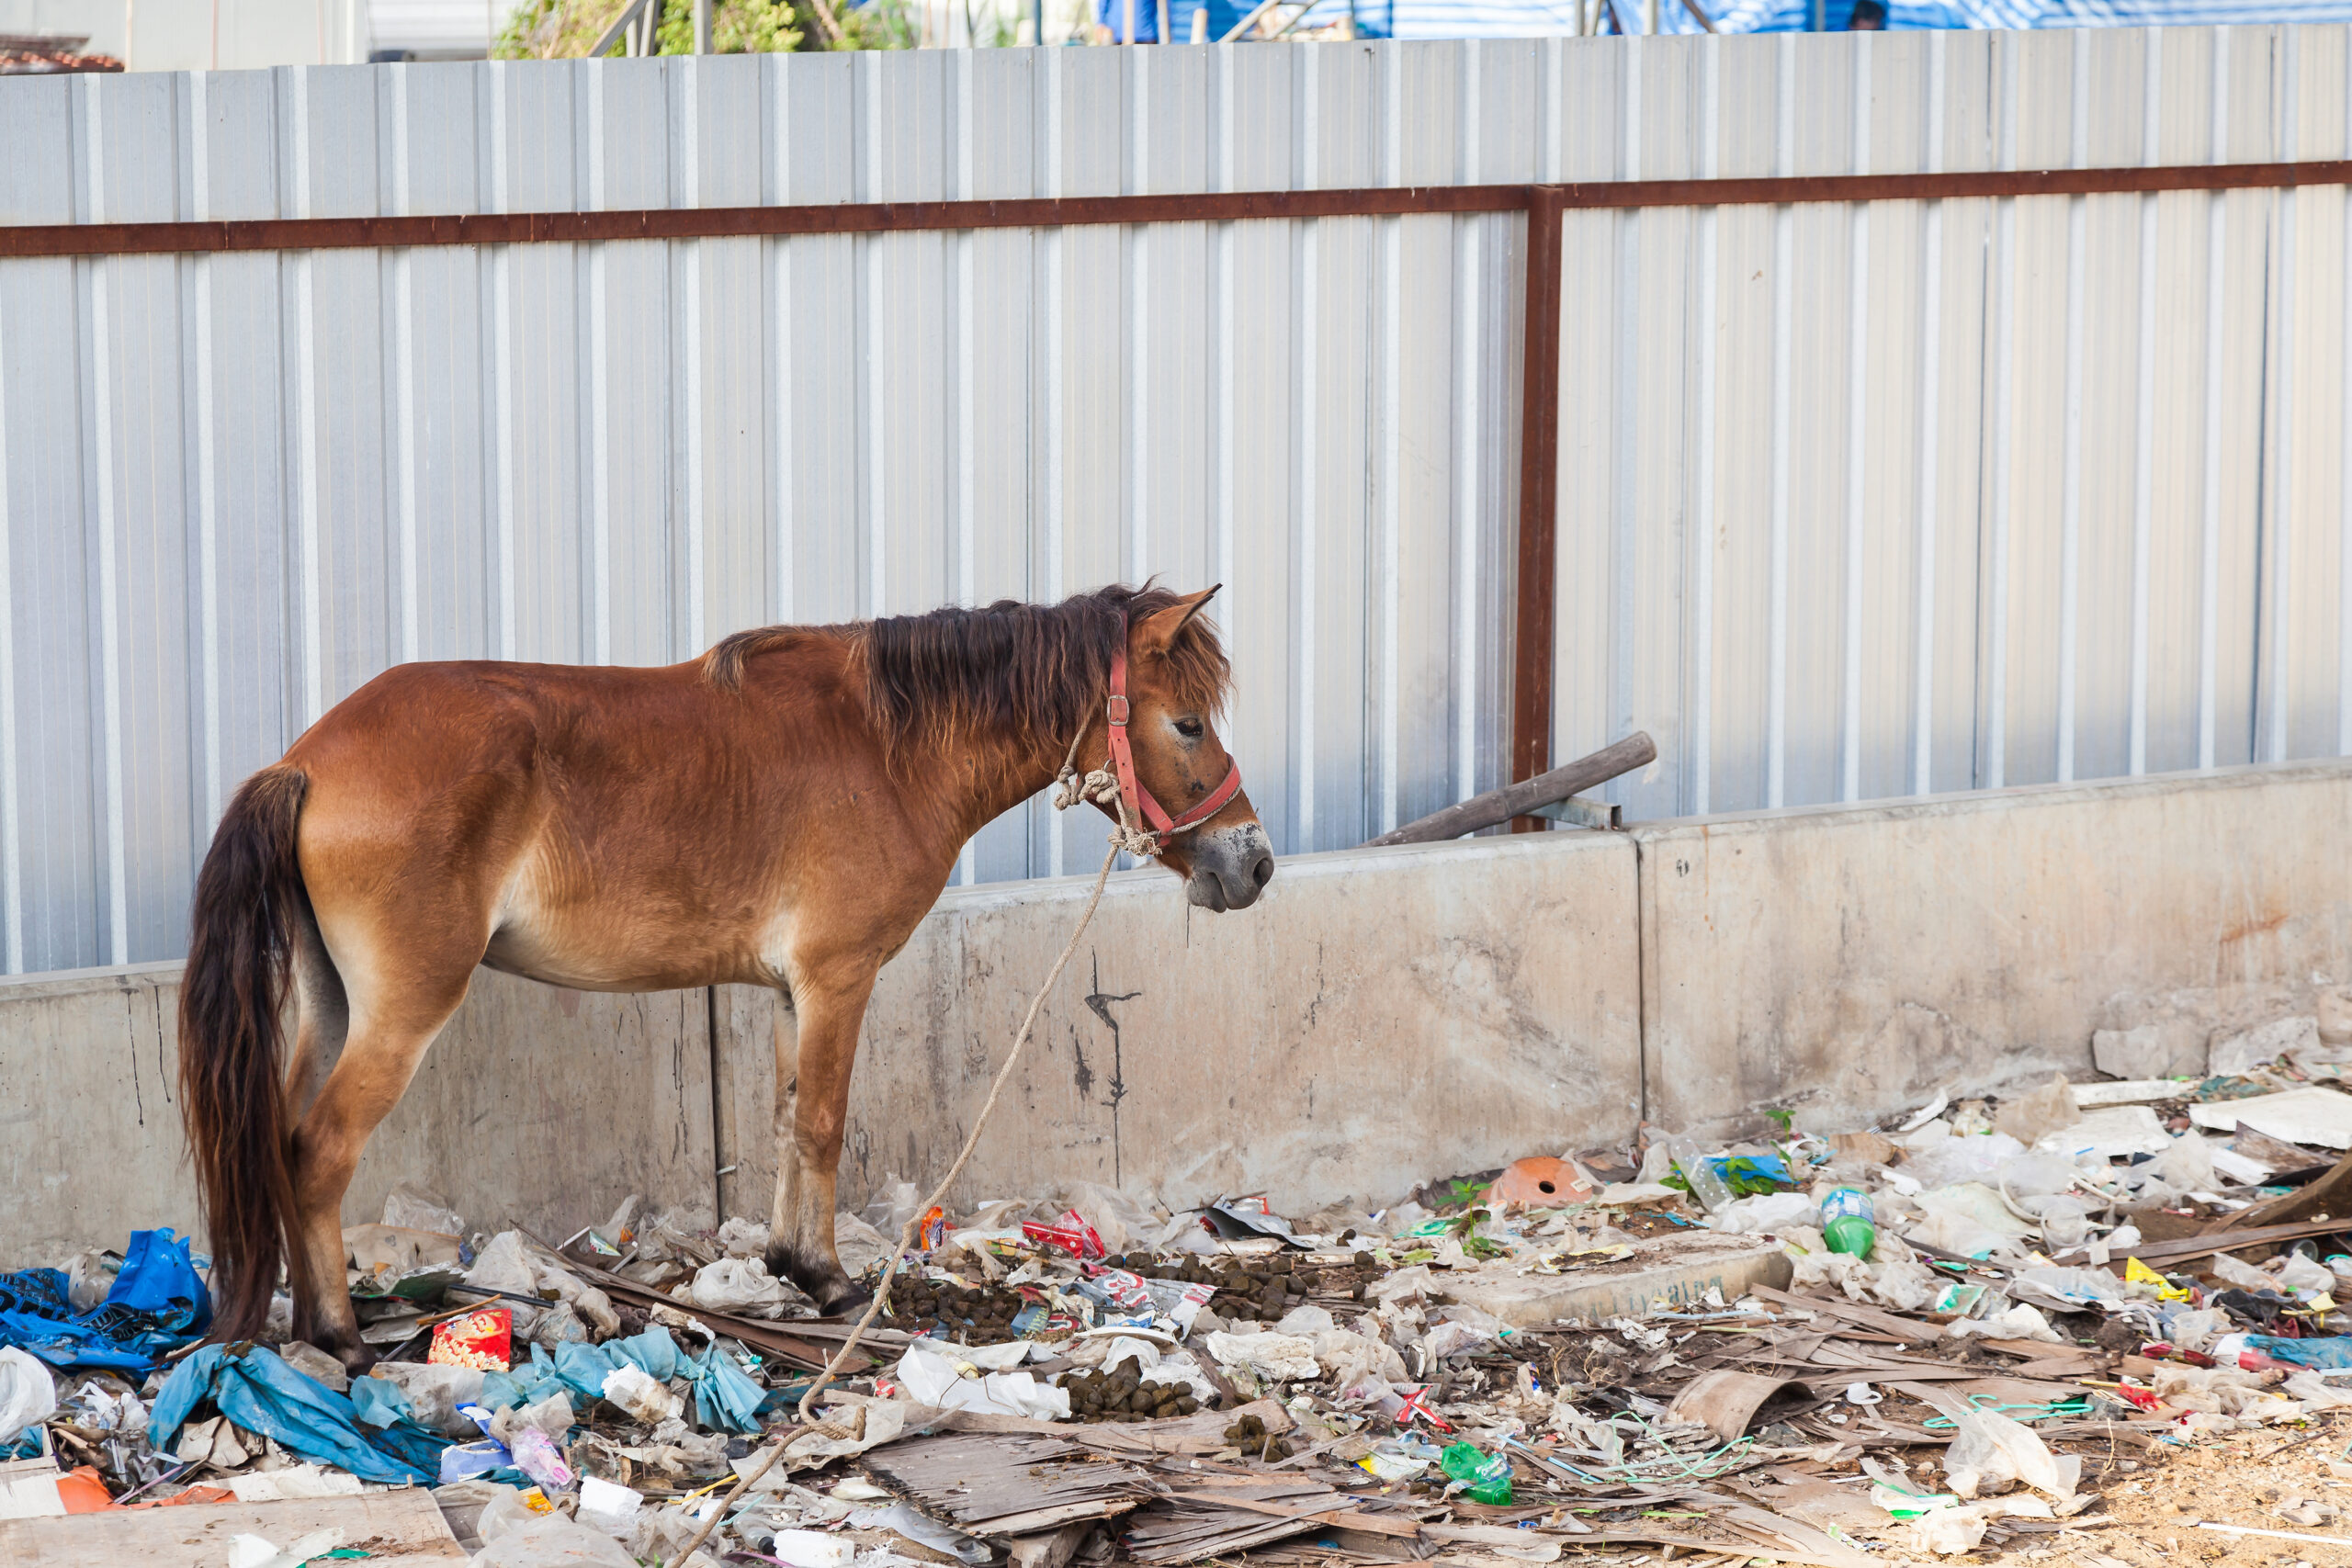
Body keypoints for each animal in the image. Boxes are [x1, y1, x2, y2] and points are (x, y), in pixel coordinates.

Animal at [174, 582, 1270, 1363]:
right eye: (1186, 722)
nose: (1251, 862)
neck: (887, 747)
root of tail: (306, 761)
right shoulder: (837, 978)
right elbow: (823, 1124)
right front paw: (831, 1284)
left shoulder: (792, 991)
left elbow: (788, 1122)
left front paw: (789, 1266)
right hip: (402, 1010)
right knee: (319, 1151)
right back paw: (340, 1338)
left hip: (332, 1007)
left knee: (282, 1137)